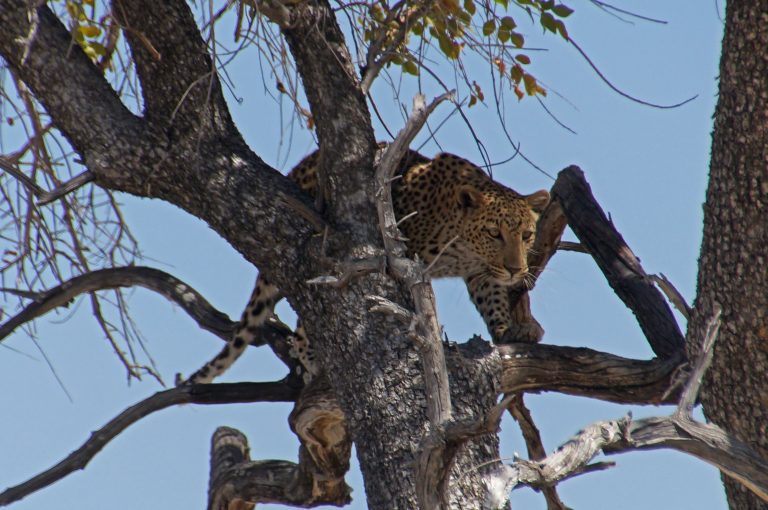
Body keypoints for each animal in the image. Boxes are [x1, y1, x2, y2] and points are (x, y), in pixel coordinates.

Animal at [178, 145, 552, 384]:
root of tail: (296, 170)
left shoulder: (481, 271)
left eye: (527, 235)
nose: (517, 269)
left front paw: (507, 328)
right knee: (309, 301)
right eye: (494, 233)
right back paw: (308, 351)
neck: (461, 244)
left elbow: (492, 297)